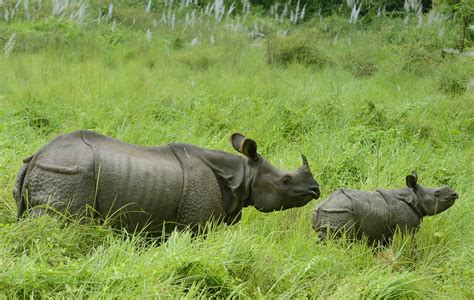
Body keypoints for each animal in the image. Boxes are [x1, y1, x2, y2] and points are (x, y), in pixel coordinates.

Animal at [12, 131, 320, 234]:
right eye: (285, 180)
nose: (315, 190)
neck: (241, 175)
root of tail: (39, 154)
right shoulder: (196, 224)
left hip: (56, 169)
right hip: (67, 172)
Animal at [312, 172, 458, 245]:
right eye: (437, 194)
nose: (454, 194)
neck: (416, 198)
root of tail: (322, 206)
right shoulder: (407, 227)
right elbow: (409, 244)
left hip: (331, 212)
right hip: (338, 212)